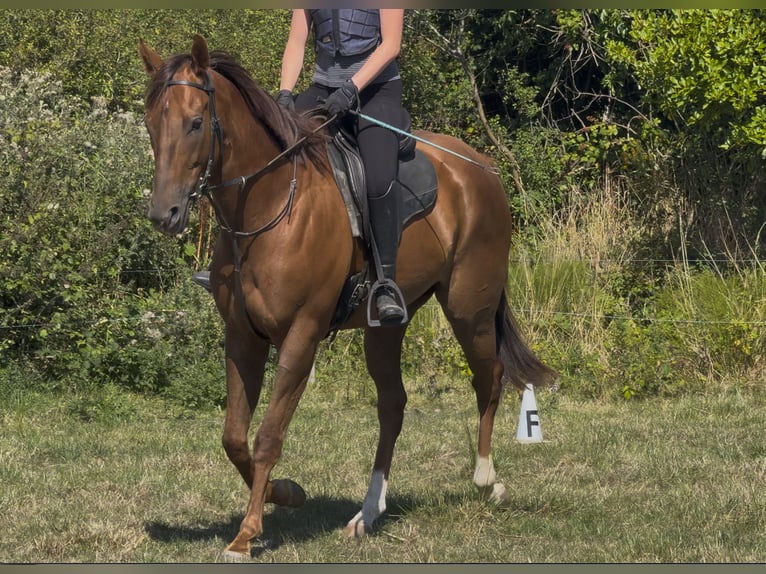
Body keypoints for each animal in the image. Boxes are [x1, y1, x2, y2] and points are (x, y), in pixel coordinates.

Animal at [139, 35, 556, 559]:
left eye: (196, 122)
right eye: (152, 123)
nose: (164, 214)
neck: (270, 204)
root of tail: (482, 167)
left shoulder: (302, 335)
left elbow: (268, 435)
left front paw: (246, 533)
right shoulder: (243, 336)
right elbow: (235, 437)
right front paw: (286, 493)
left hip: (468, 308)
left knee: (491, 376)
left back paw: (486, 479)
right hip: (388, 326)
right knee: (393, 404)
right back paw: (368, 511)